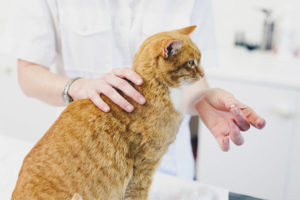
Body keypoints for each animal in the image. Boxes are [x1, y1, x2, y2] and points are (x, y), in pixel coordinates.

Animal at [11, 25, 204, 199]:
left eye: (200, 60)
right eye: (191, 63)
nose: (203, 74)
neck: (157, 88)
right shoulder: (144, 167)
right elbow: (138, 194)